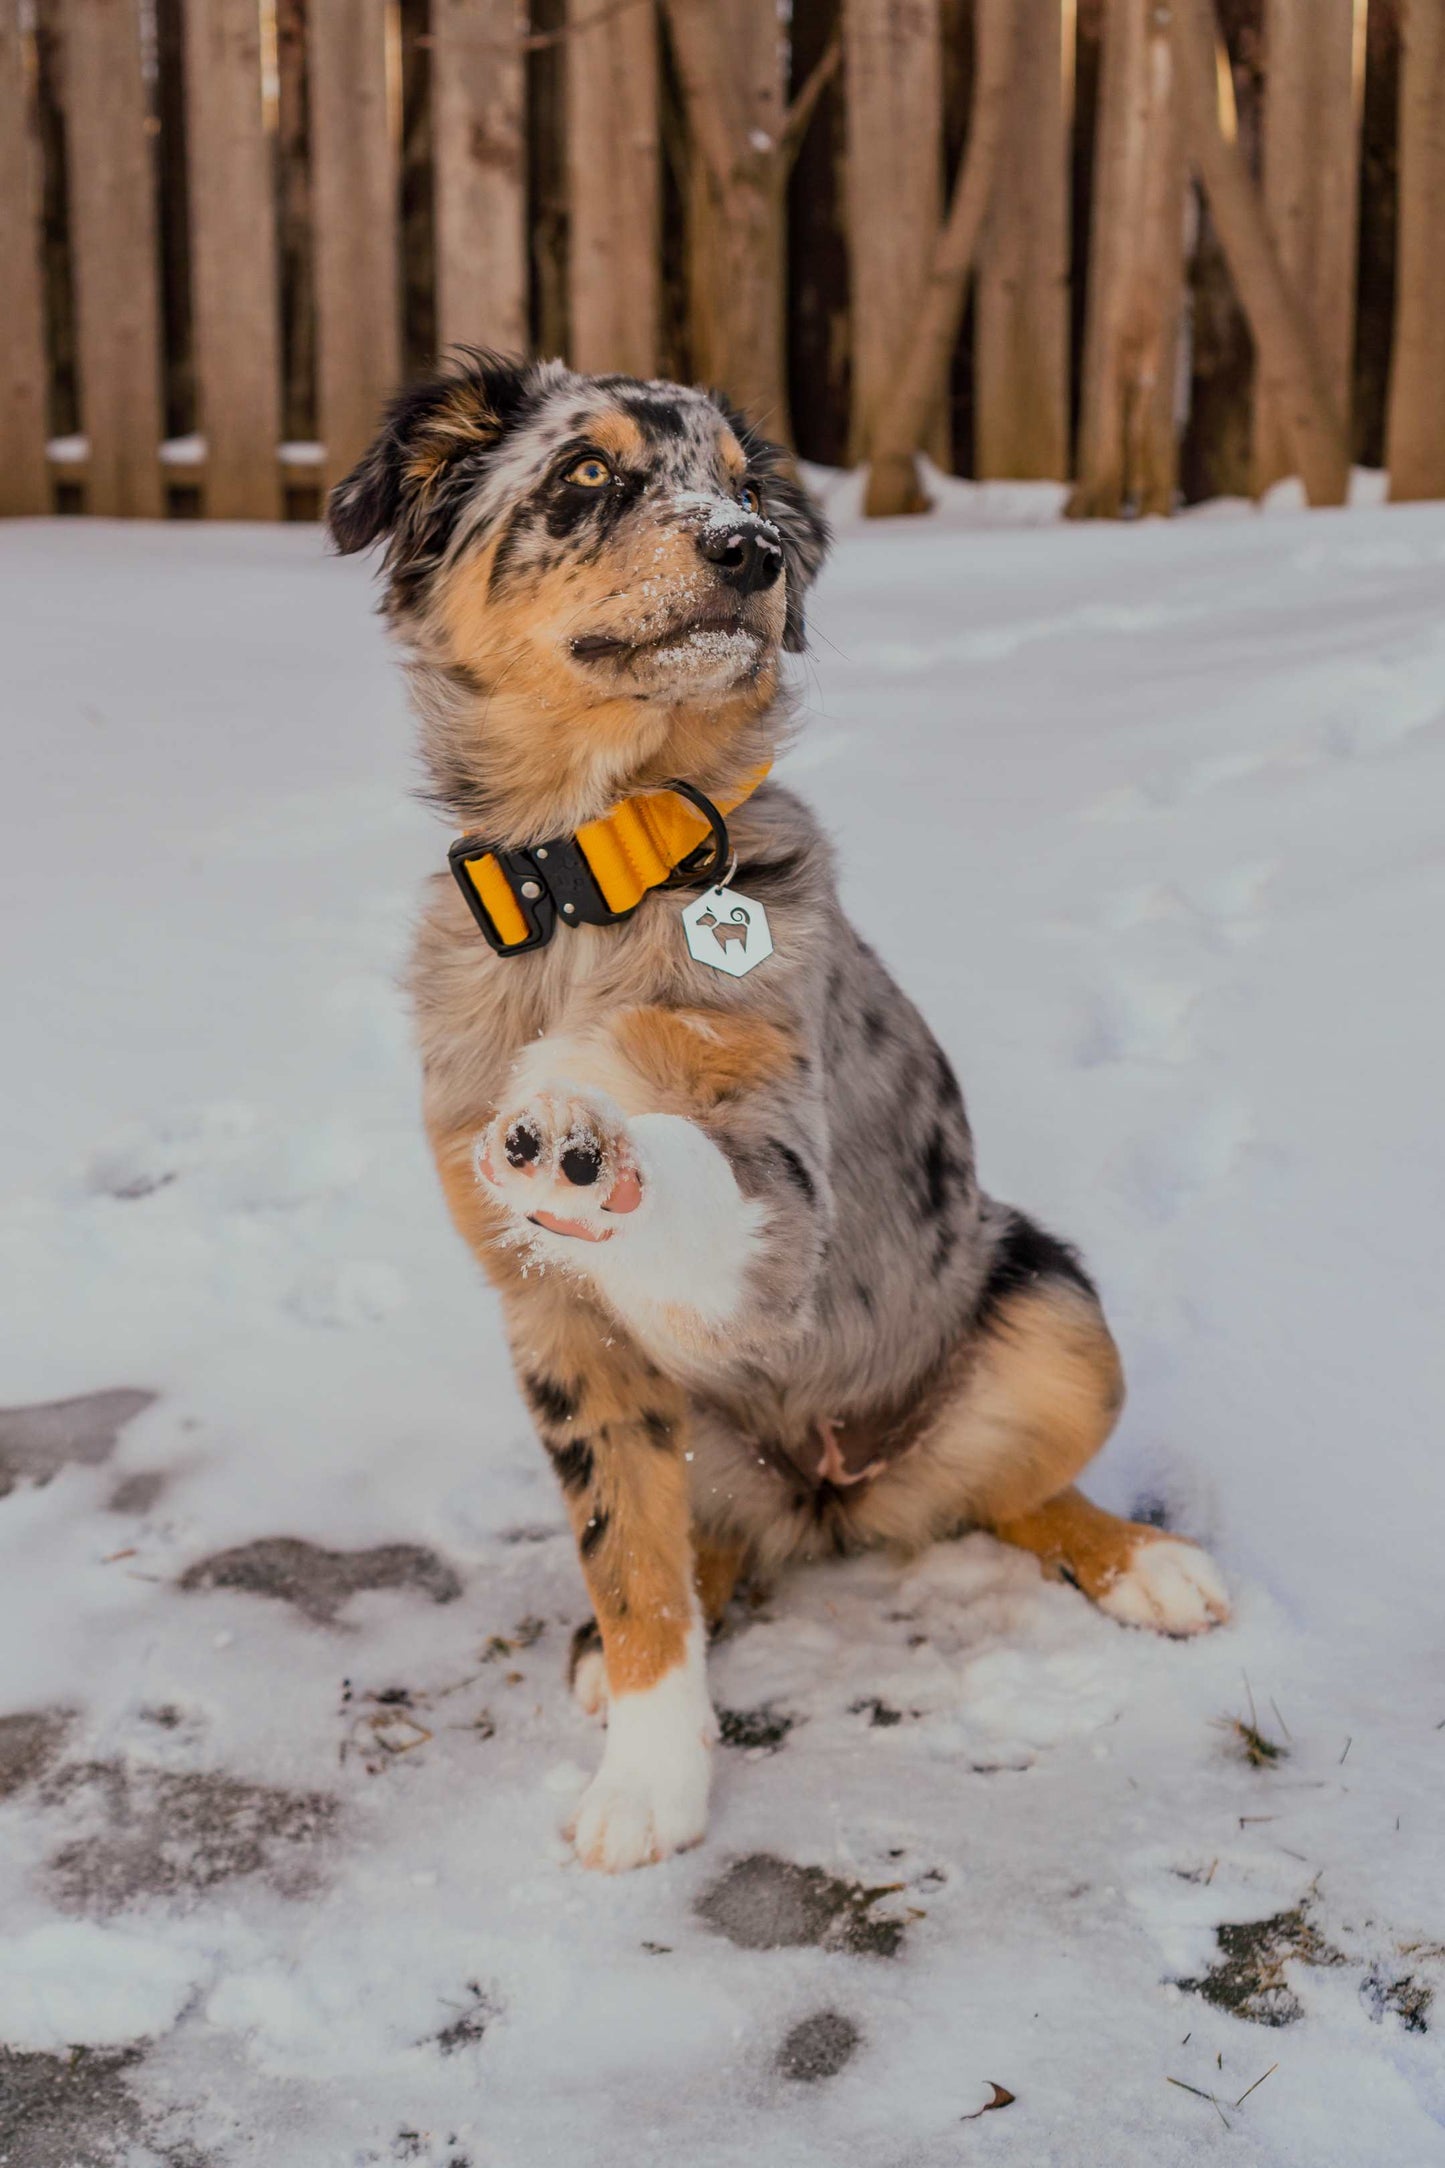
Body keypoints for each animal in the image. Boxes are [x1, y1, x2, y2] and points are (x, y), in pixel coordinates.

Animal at [331, 351, 1230, 1864]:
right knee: (701, 1543)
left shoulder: (787, 1194)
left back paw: (1145, 1564)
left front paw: (588, 1142)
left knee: (1015, 1492)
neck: (590, 876)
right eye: (585, 473)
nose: (747, 551)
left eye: (748, 488)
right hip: (702, 1432)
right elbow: (628, 1564)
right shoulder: (557, 1328)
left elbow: (706, 1174)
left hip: (1054, 1309)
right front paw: (649, 1775)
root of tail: (833, 1494)